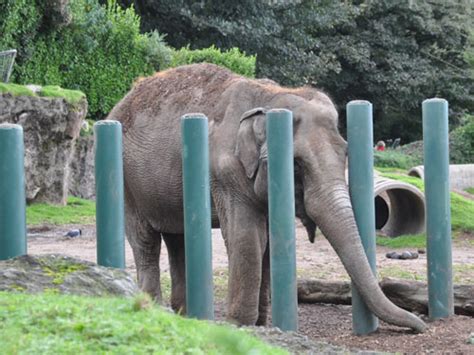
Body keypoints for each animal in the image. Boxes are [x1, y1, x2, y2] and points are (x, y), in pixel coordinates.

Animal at [109, 63, 428, 334]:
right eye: (296, 165)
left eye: (346, 152)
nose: (421, 326)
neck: (270, 96)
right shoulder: (225, 173)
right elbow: (247, 237)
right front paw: (239, 325)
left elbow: (269, 241)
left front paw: (261, 325)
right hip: (126, 183)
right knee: (145, 241)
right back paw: (152, 308)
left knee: (178, 239)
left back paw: (187, 315)